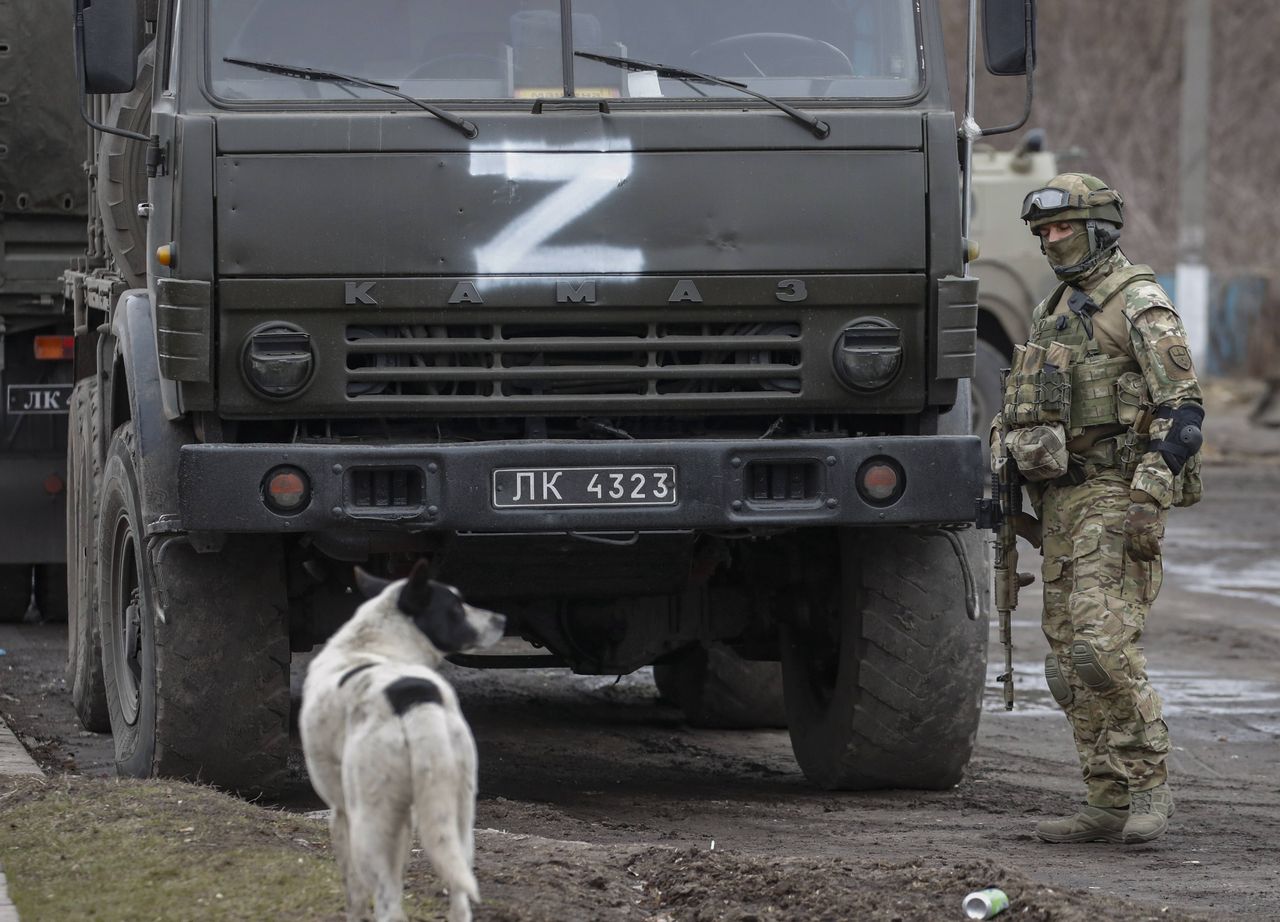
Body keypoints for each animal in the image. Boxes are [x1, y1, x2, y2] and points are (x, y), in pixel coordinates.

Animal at [299, 560, 504, 922]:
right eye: (457, 607)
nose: (503, 620)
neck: (371, 643)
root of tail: (414, 700)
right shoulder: (405, 820)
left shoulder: (340, 813)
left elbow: (354, 892)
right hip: (457, 817)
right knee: (458, 895)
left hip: (368, 824)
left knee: (387, 903)